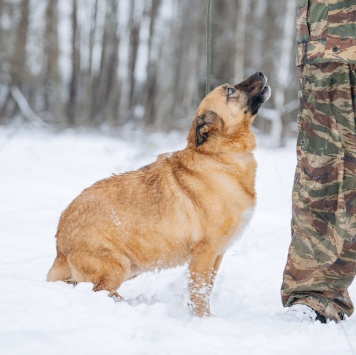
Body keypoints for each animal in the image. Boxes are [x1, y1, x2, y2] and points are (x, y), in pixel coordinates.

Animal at [46, 72, 270, 318]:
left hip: (130, 267)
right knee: (99, 291)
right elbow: (200, 294)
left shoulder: (217, 256)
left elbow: (207, 290)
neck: (219, 156)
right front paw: (203, 320)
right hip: (117, 266)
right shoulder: (204, 254)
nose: (260, 73)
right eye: (230, 90)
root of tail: (60, 246)